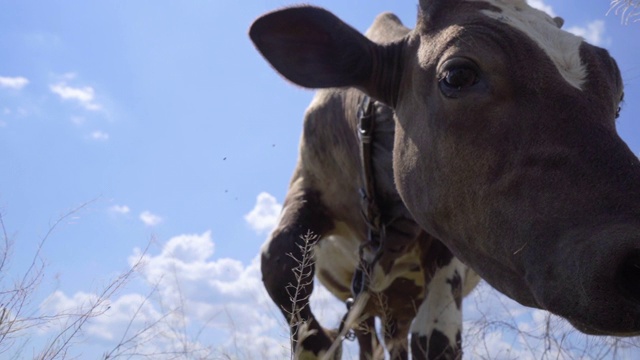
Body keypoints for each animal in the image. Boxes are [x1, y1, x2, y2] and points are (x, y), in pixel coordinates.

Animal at [248, 0, 636, 358]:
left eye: (617, 102)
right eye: (457, 76)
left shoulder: (446, 239)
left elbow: (434, 338)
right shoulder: (308, 182)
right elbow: (278, 262)